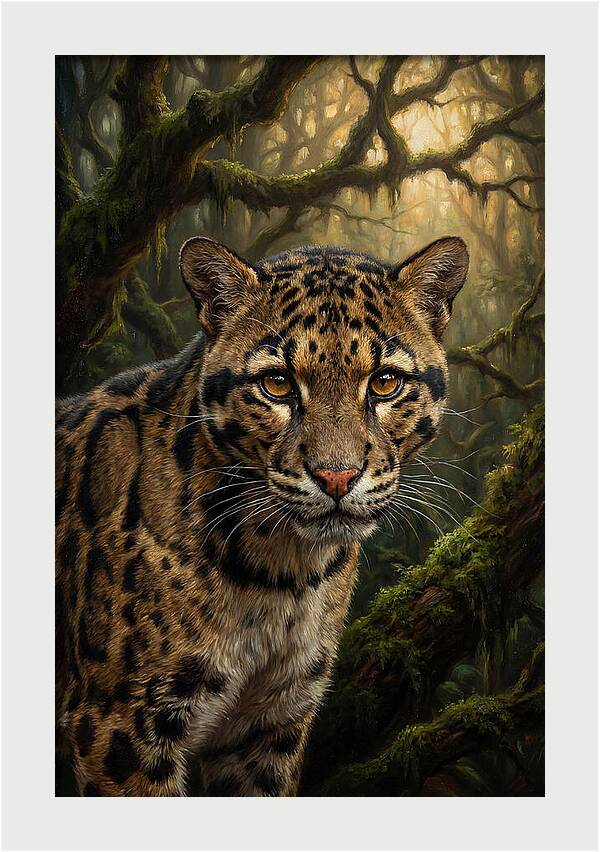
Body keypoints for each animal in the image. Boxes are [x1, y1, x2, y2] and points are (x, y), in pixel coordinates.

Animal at [55, 234, 468, 796]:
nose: (337, 477)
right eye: (277, 384)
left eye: (385, 383)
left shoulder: (270, 723)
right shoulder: (119, 722)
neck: (281, 573)